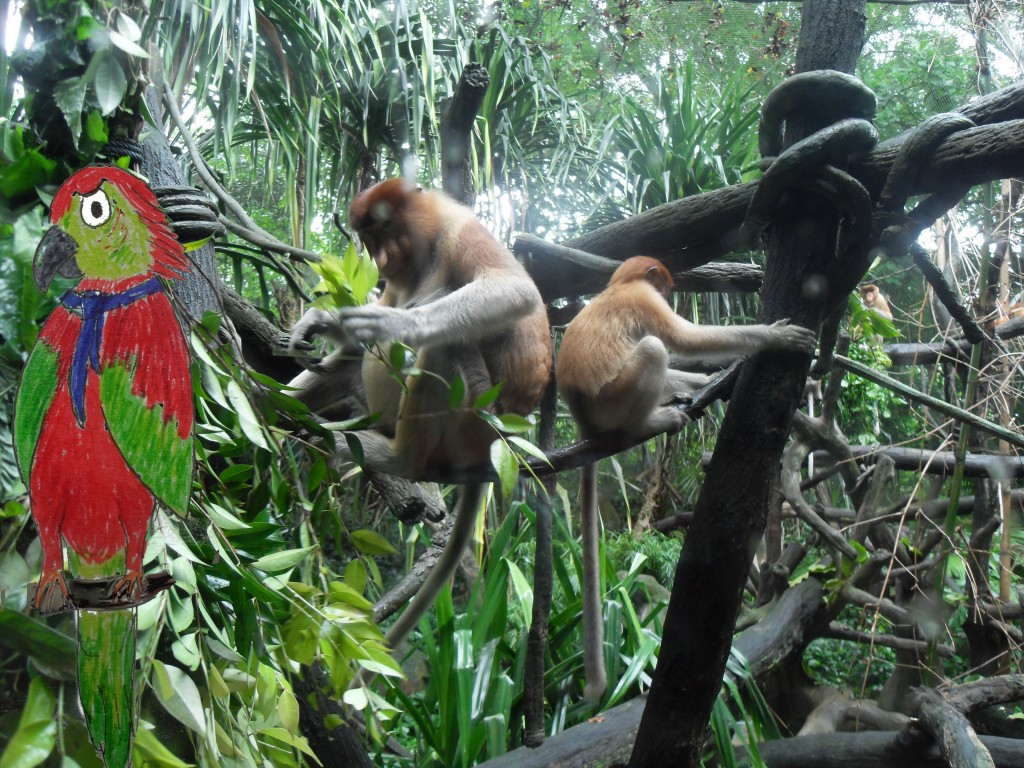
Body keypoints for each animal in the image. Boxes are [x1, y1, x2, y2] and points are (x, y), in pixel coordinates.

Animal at [291, 177, 552, 647]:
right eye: (368, 237)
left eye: (385, 228)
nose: (380, 260)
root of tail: (501, 440)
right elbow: (360, 333)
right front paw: (317, 322)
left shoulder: (460, 231)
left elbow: (513, 290)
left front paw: (394, 323)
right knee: (351, 359)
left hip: (474, 417)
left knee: (447, 343)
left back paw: (391, 455)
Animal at [556, 256, 817, 704]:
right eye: (662, 286)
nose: (670, 290)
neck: (618, 285)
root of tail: (582, 419)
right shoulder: (644, 301)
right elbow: (686, 340)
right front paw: (779, 337)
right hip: (614, 400)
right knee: (654, 348)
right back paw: (652, 420)